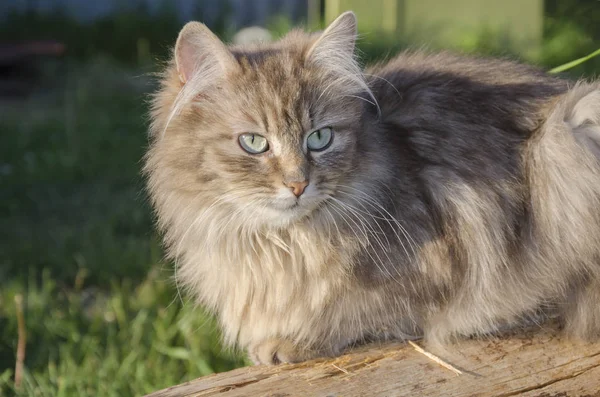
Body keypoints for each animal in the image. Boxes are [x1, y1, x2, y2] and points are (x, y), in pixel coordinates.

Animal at [145, 11, 600, 366]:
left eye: (319, 138)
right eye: (254, 142)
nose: (298, 184)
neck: (282, 243)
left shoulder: (433, 272)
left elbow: (354, 313)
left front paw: (289, 342)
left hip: (566, 136)